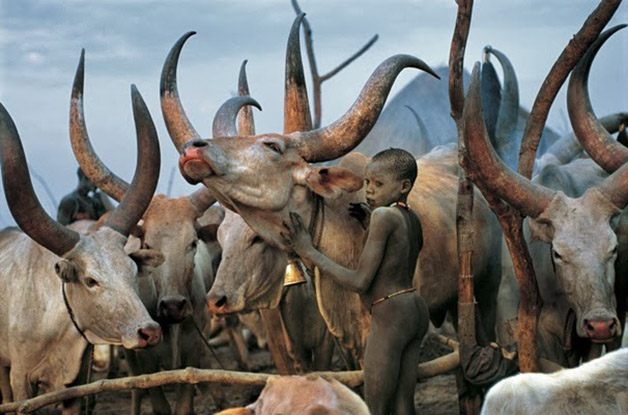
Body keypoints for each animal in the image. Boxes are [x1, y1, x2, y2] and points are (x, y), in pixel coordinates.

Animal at [69, 51, 218, 415]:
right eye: (148, 242)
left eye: (193, 242)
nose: (173, 307)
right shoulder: (141, 359)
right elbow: (154, 398)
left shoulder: (192, 355)